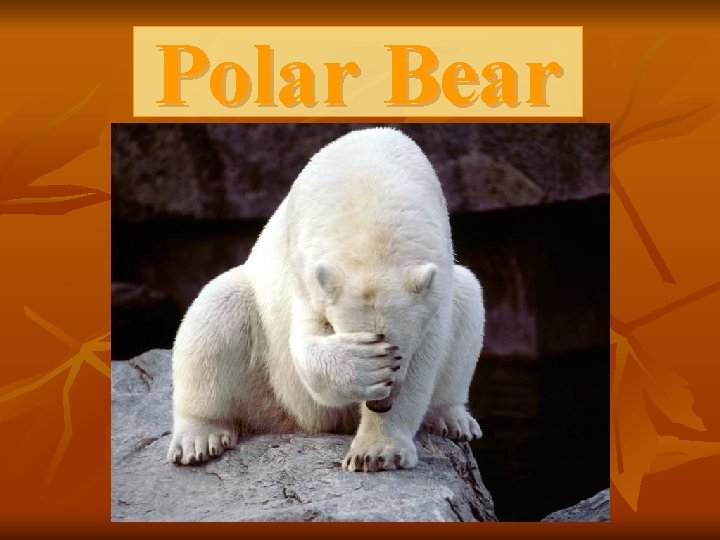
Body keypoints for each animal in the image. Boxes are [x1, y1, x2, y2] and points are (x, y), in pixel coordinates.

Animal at [167, 127, 485, 472]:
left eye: (400, 354)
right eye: (380, 348)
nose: (380, 404)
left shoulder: (435, 280)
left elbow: (427, 355)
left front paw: (376, 452)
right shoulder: (305, 267)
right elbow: (304, 343)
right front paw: (363, 367)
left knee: (469, 299)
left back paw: (452, 418)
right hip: (265, 382)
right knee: (216, 311)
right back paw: (199, 438)